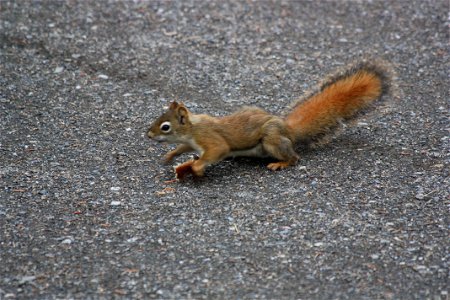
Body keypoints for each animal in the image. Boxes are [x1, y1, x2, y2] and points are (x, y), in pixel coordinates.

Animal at [147, 59, 390, 179]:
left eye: (165, 127)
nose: (148, 134)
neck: (192, 130)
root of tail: (288, 130)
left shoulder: (210, 139)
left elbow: (218, 150)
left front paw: (197, 168)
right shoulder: (190, 142)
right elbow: (182, 149)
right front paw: (171, 156)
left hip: (271, 140)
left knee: (295, 157)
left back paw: (281, 163)